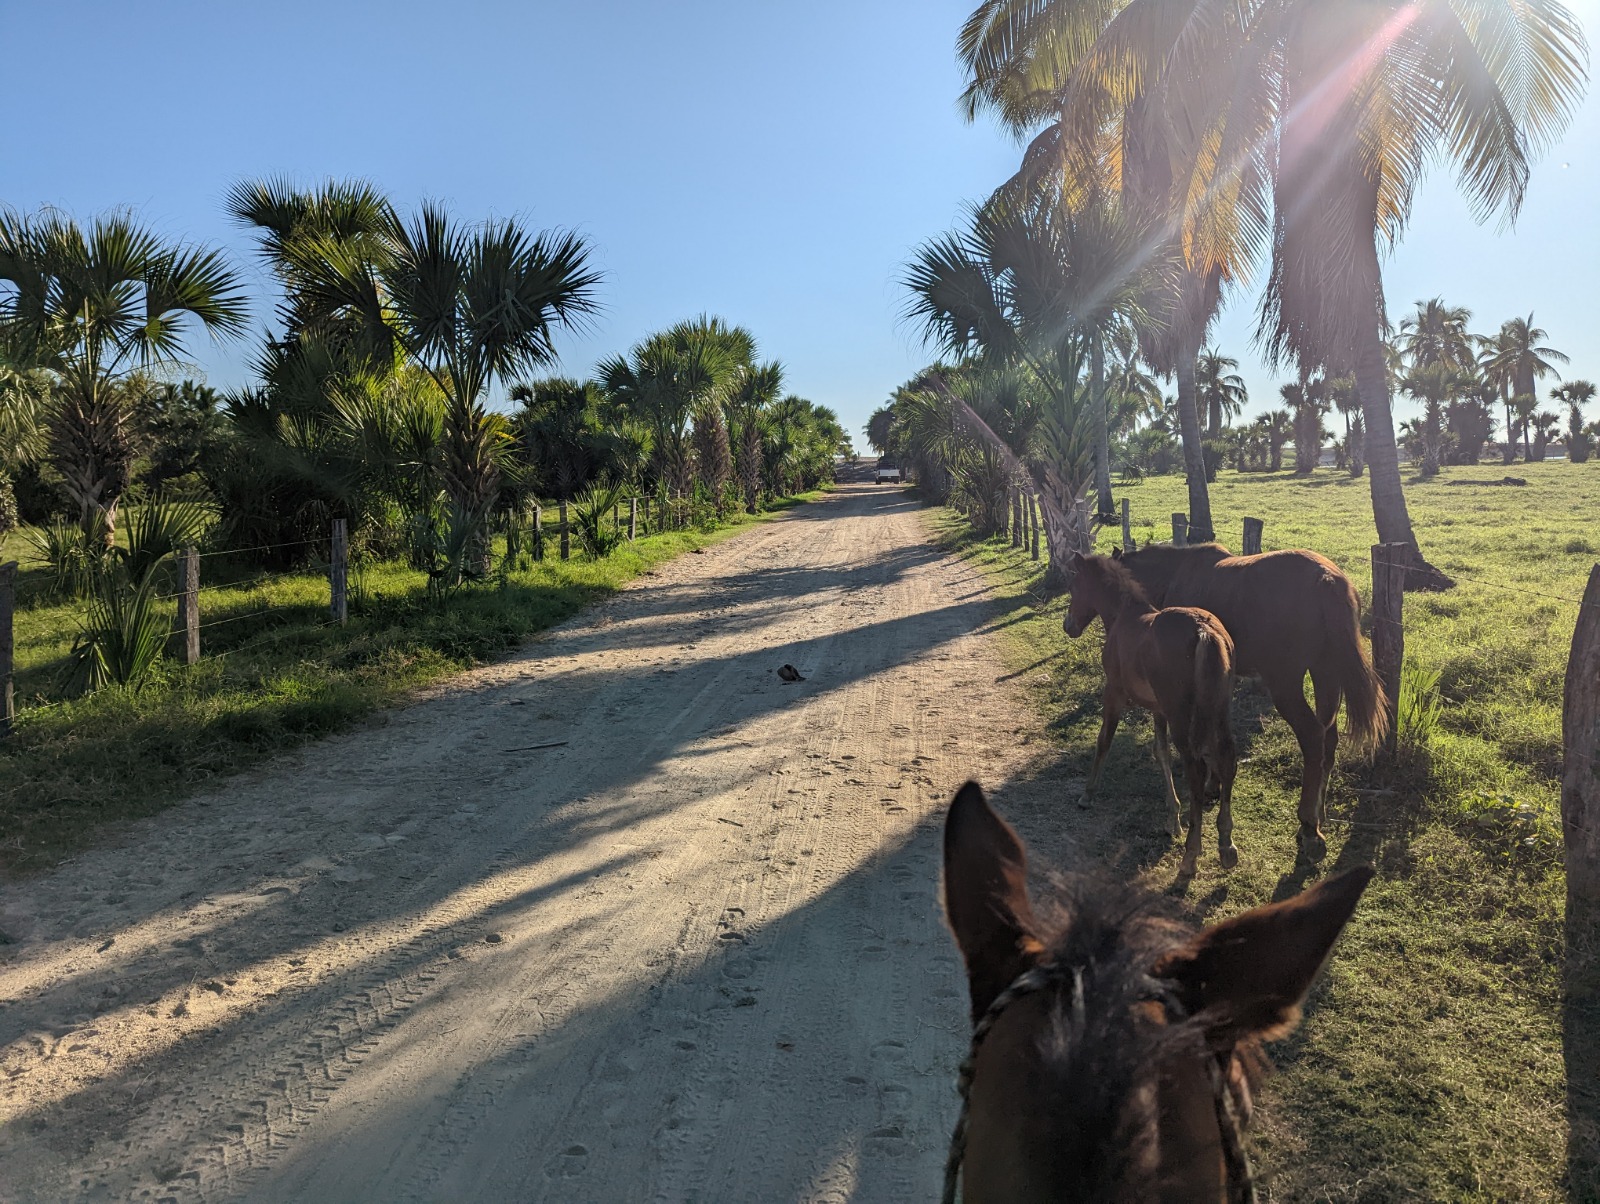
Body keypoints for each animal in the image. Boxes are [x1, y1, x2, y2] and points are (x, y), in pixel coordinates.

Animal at [1064, 550, 1239, 874]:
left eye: (1074, 586)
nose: (1068, 625)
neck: (1123, 617)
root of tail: (1204, 631)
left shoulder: (1114, 693)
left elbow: (1104, 741)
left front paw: (1087, 794)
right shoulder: (1159, 709)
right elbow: (1161, 753)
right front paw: (1173, 818)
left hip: (1182, 714)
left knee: (1196, 768)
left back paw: (1191, 854)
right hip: (1218, 708)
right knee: (1226, 759)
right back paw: (1226, 845)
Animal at [1113, 542, 1387, 862]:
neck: (1177, 573)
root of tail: (1327, 579)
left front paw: (1211, 785)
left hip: (1287, 684)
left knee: (1312, 736)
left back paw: (1308, 827)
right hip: (1325, 673)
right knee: (1327, 739)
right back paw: (1318, 817)